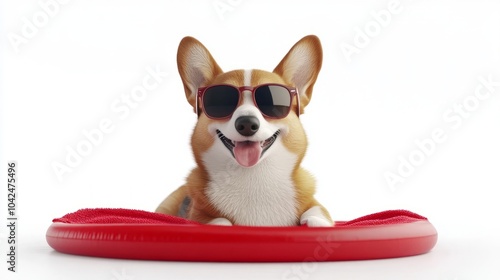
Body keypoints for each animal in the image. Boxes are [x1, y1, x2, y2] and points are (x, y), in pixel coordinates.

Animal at [156, 35, 334, 228]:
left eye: (272, 102)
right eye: (220, 101)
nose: (247, 124)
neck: (253, 176)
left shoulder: (314, 203)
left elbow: (318, 211)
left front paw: (317, 222)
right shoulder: (196, 212)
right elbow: (217, 220)